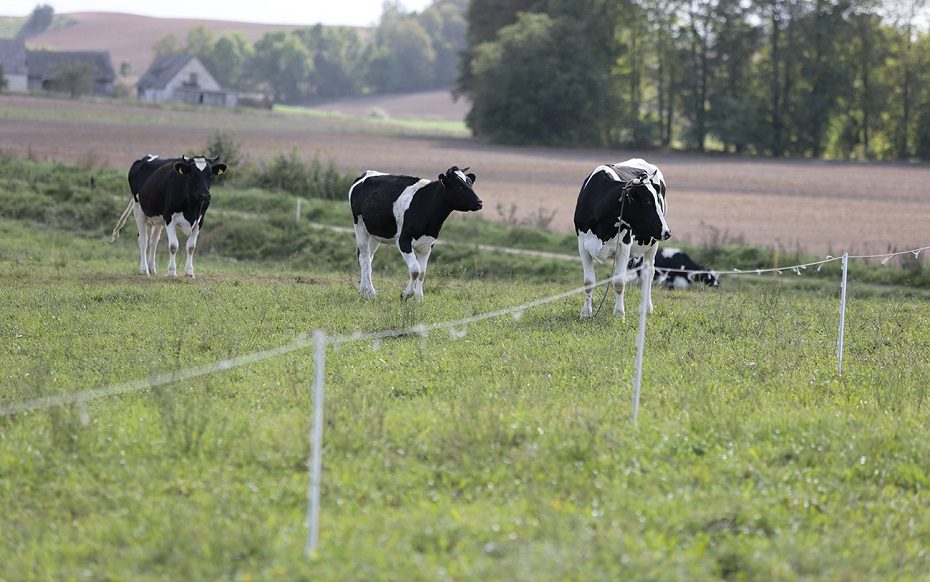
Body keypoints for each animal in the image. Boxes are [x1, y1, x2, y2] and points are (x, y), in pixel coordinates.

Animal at [346, 167, 478, 304]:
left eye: (470, 183)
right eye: (459, 185)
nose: (479, 202)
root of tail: (366, 174)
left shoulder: (428, 243)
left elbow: (422, 272)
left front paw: (419, 299)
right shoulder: (403, 240)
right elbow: (415, 269)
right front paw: (406, 294)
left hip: (374, 232)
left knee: (366, 257)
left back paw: (363, 291)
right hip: (359, 225)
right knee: (365, 258)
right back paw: (370, 293)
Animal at [568, 160, 672, 320]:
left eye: (657, 200)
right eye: (647, 201)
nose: (667, 232)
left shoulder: (624, 245)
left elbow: (619, 282)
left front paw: (618, 314)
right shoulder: (582, 245)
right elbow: (589, 282)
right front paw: (586, 313)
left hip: (653, 242)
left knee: (649, 272)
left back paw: (646, 308)